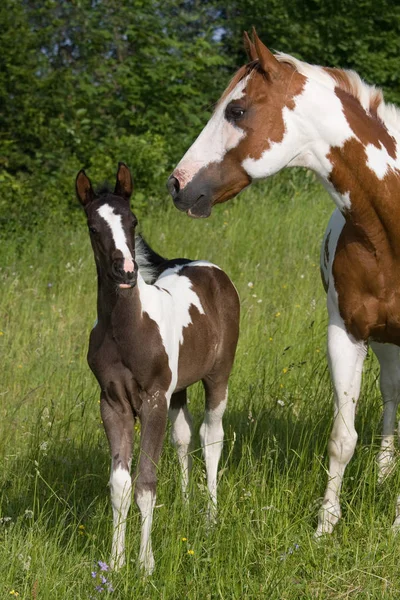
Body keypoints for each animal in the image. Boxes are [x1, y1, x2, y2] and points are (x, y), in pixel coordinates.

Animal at [75, 163, 239, 572]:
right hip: (178, 389)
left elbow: (146, 481)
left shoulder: (152, 401)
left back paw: (210, 517)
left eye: (132, 220)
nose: (126, 271)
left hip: (218, 375)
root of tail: (207, 269)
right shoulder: (113, 404)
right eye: (93, 227)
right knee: (183, 436)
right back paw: (186, 505)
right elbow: (120, 484)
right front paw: (115, 563)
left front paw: (145, 564)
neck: (126, 329)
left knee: (211, 436)